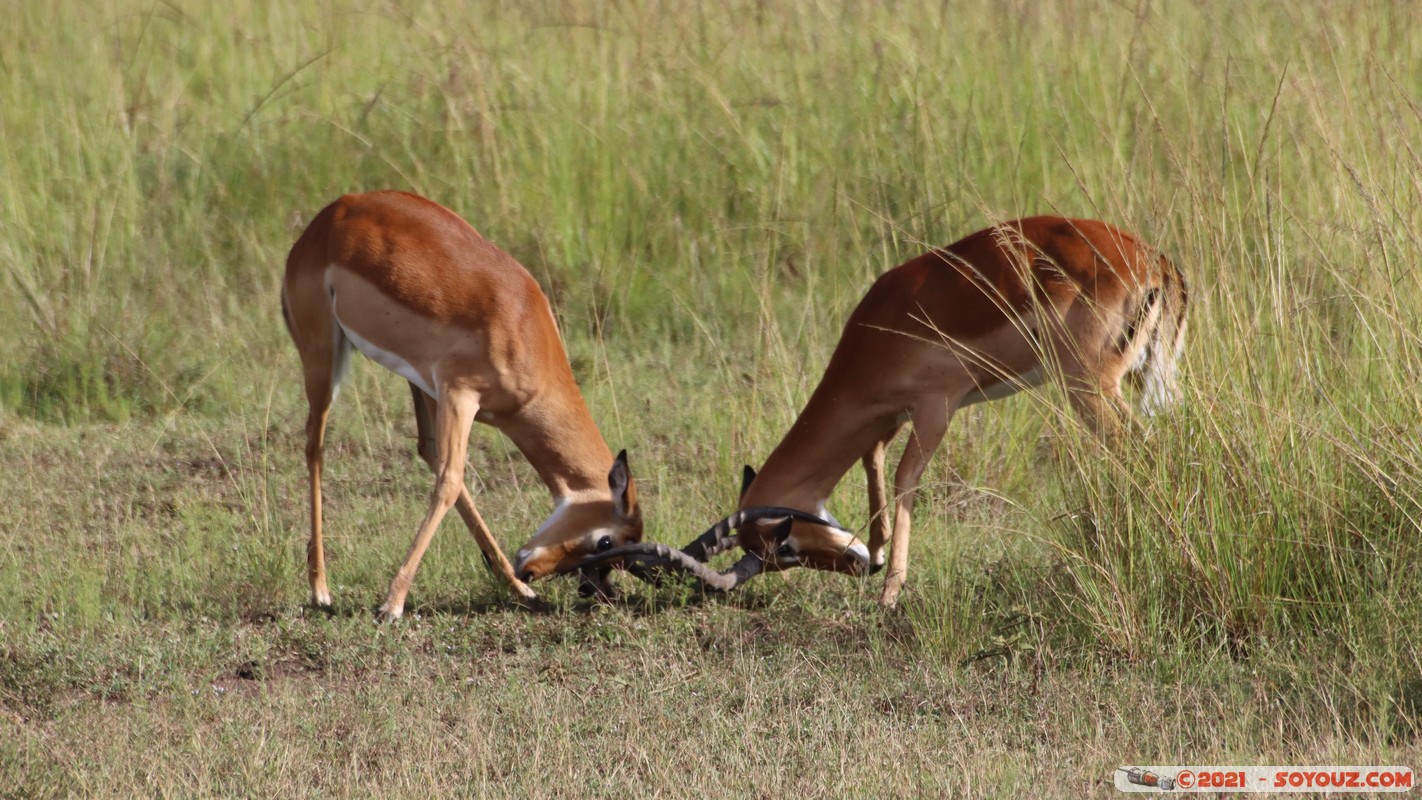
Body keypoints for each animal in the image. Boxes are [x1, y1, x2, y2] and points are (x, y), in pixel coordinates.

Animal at [281, 191, 642, 620]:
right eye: (606, 541)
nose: (533, 571)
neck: (523, 325)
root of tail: (327, 218)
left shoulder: (445, 392)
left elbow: (447, 474)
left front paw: (519, 586)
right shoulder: (460, 393)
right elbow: (450, 482)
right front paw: (392, 604)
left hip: (419, 383)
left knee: (426, 449)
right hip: (324, 358)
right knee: (314, 446)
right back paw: (320, 590)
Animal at [578, 216, 1186, 608]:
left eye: (785, 547)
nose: (858, 567)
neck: (875, 332)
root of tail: (1152, 261)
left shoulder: (936, 406)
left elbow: (903, 478)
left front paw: (891, 592)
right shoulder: (888, 416)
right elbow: (873, 465)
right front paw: (877, 548)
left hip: (1090, 387)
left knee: (1145, 453)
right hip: (1147, 383)